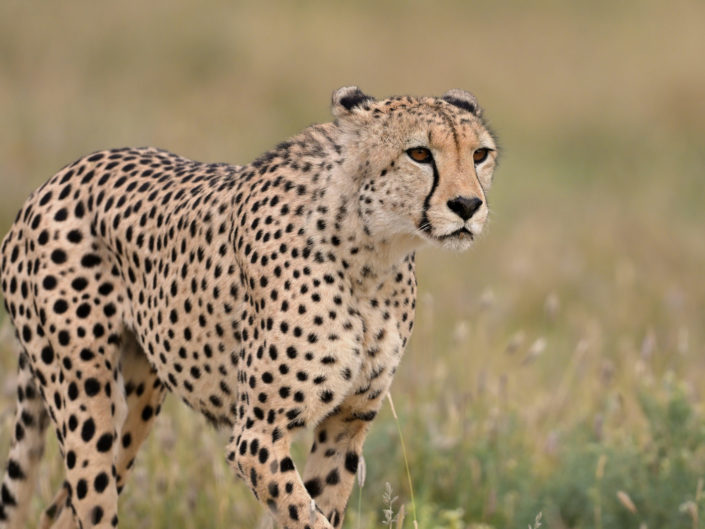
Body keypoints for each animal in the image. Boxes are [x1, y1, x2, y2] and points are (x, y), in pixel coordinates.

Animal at [0, 86, 498, 529]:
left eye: (479, 155)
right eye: (419, 154)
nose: (467, 205)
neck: (373, 254)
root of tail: (53, 181)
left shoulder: (347, 422)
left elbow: (317, 507)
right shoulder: (257, 434)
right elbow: (305, 516)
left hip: (139, 401)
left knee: (60, 511)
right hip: (85, 400)